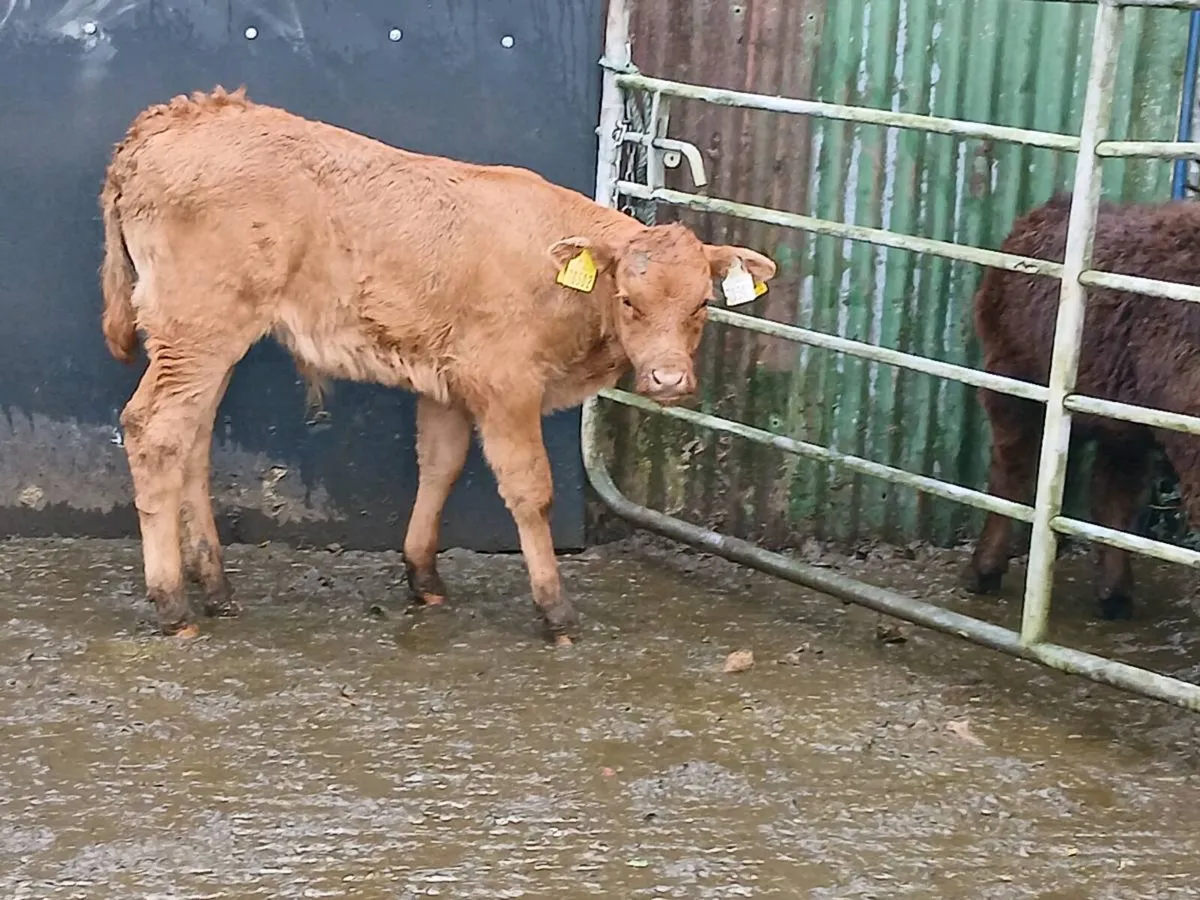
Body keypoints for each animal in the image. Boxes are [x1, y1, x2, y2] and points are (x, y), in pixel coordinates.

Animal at [99, 87, 777, 644]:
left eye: (700, 304)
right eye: (630, 301)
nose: (669, 379)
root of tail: (177, 117)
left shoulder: (449, 381)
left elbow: (440, 466)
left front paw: (422, 575)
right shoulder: (505, 383)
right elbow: (530, 489)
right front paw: (554, 608)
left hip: (205, 339)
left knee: (192, 440)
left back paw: (215, 587)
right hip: (198, 329)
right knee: (153, 431)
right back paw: (172, 604)